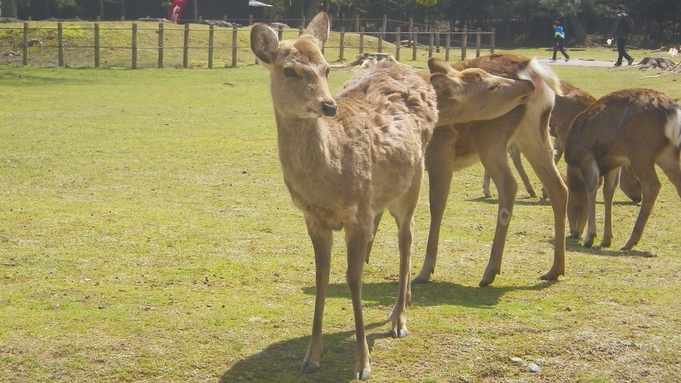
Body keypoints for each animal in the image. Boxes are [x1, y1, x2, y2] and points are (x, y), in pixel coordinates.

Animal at [252, 12, 438, 380]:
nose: (328, 105)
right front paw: (310, 357)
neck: (329, 184)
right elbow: (321, 277)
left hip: (413, 182)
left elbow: (354, 280)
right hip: (382, 197)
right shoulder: (314, 219)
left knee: (406, 239)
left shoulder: (358, 215)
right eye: (289, 70)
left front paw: (363, 364)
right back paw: (403, 304)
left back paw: (399, 318)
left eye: (326, 68)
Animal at [414, 54, 568, 288]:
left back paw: (489, 272)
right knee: (558, 187)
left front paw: (426, 271)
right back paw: (554, 270)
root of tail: (532, 68)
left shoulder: (440, 151)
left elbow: (436, 204)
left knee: (509, 185)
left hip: (491, 137)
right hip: (534, 134)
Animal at [564, 89, 680, 252]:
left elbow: (591, 189)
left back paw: (629, 242)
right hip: (667, 153)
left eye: (568, 208)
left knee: (652, 185)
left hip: (640, 151)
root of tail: (673, 112)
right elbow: (608, 192)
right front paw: (606, 240)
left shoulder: (586, 157)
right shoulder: (615, 163)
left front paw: (590, 238)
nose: (574, 233)